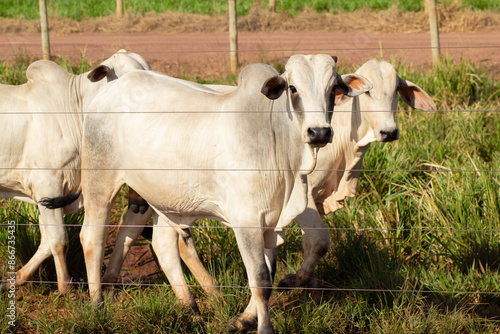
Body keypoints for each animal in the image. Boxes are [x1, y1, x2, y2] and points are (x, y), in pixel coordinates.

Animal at [42, 53, 372, 332]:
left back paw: (191, 308)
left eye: (334, 89)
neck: (275, 140)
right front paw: (263, 327)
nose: (319, 132)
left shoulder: (270, 222)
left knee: (163, 246)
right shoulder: (246, 222)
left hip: (161, 199)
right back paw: (97, 303)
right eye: (293, 88)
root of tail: (110, 89)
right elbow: (261, 280)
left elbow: (268, 272)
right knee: (91, 237)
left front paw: (242, 319)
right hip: (100, 182)